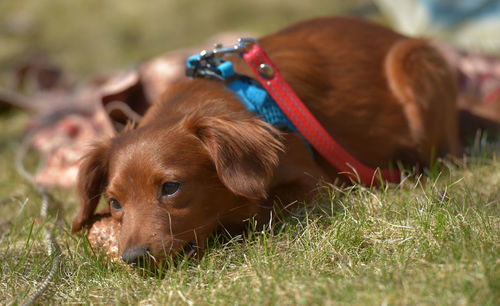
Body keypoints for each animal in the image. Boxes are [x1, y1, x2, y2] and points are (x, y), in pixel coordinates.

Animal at [72, 16, 458, 266]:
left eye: (170, 187)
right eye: (115, 202)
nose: (133, 259)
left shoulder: (316, 186)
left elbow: (258, 211)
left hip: (415, 65)